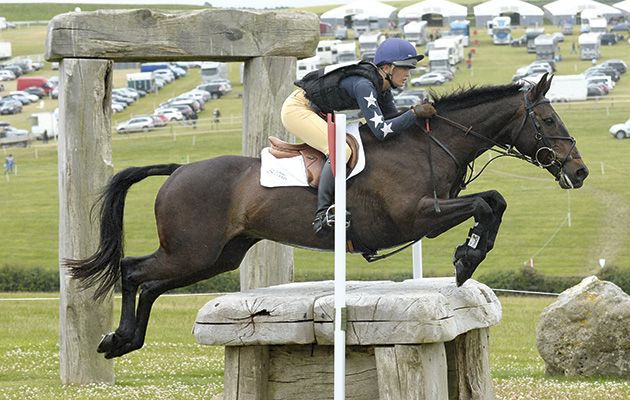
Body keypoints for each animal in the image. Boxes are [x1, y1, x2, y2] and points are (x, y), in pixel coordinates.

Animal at [69, 73, 592, 358]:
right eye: (548, 120)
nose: (580, 171)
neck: (427, 144)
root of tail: (178, 169)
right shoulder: (419, 216)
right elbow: (486, 203)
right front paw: (467, 258)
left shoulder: (433, 211)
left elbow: (495, 200)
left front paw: (469, 256)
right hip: (191, 251)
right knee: (134, 271)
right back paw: (117, 338)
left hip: (216, 256)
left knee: (151, 282)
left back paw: (124, 340)